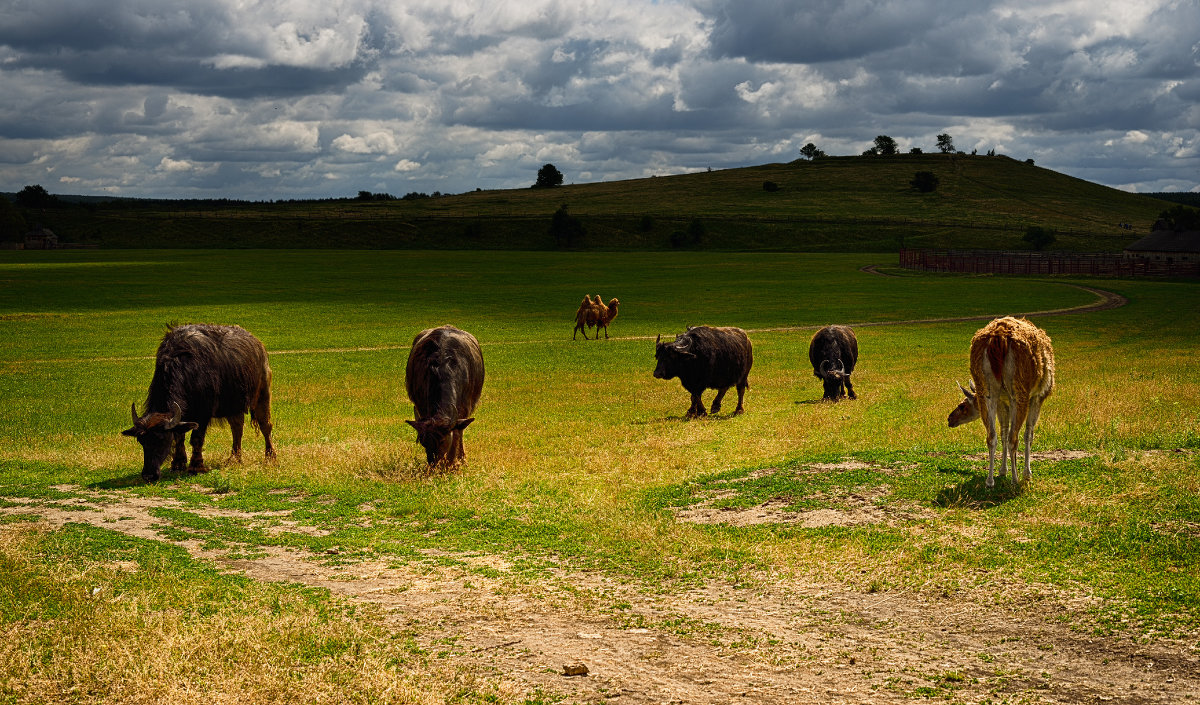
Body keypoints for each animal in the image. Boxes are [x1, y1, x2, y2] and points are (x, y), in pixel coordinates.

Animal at [124, 323, 278, 479]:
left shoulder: (204, 414)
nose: (148, 475)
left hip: (263, 395)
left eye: (161, 439)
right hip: (232, 405)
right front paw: (178, 463)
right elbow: (179, 437)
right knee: (237, 428)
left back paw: (270, 457)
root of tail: (259, 345)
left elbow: (196, 438)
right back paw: (235, 458)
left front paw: (196, 466)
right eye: (141, 441)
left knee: (265, 426)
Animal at [400, 326, 480, 467]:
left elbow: (457, 435)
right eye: (423, 442)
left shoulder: (464, 409)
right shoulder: (422, 407)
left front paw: (453, 463)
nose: (434, 463)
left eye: (443, 441)